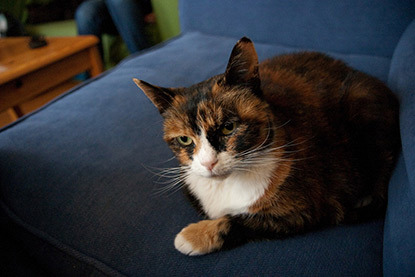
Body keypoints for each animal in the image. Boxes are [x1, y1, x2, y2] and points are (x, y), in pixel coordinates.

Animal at [132, 36, 400, 254]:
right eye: (185, 139)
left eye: (228, 127)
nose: (209, 163)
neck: (227, 185)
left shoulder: (305, 209)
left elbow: (239, 221)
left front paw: (191, 237)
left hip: (363, 107)